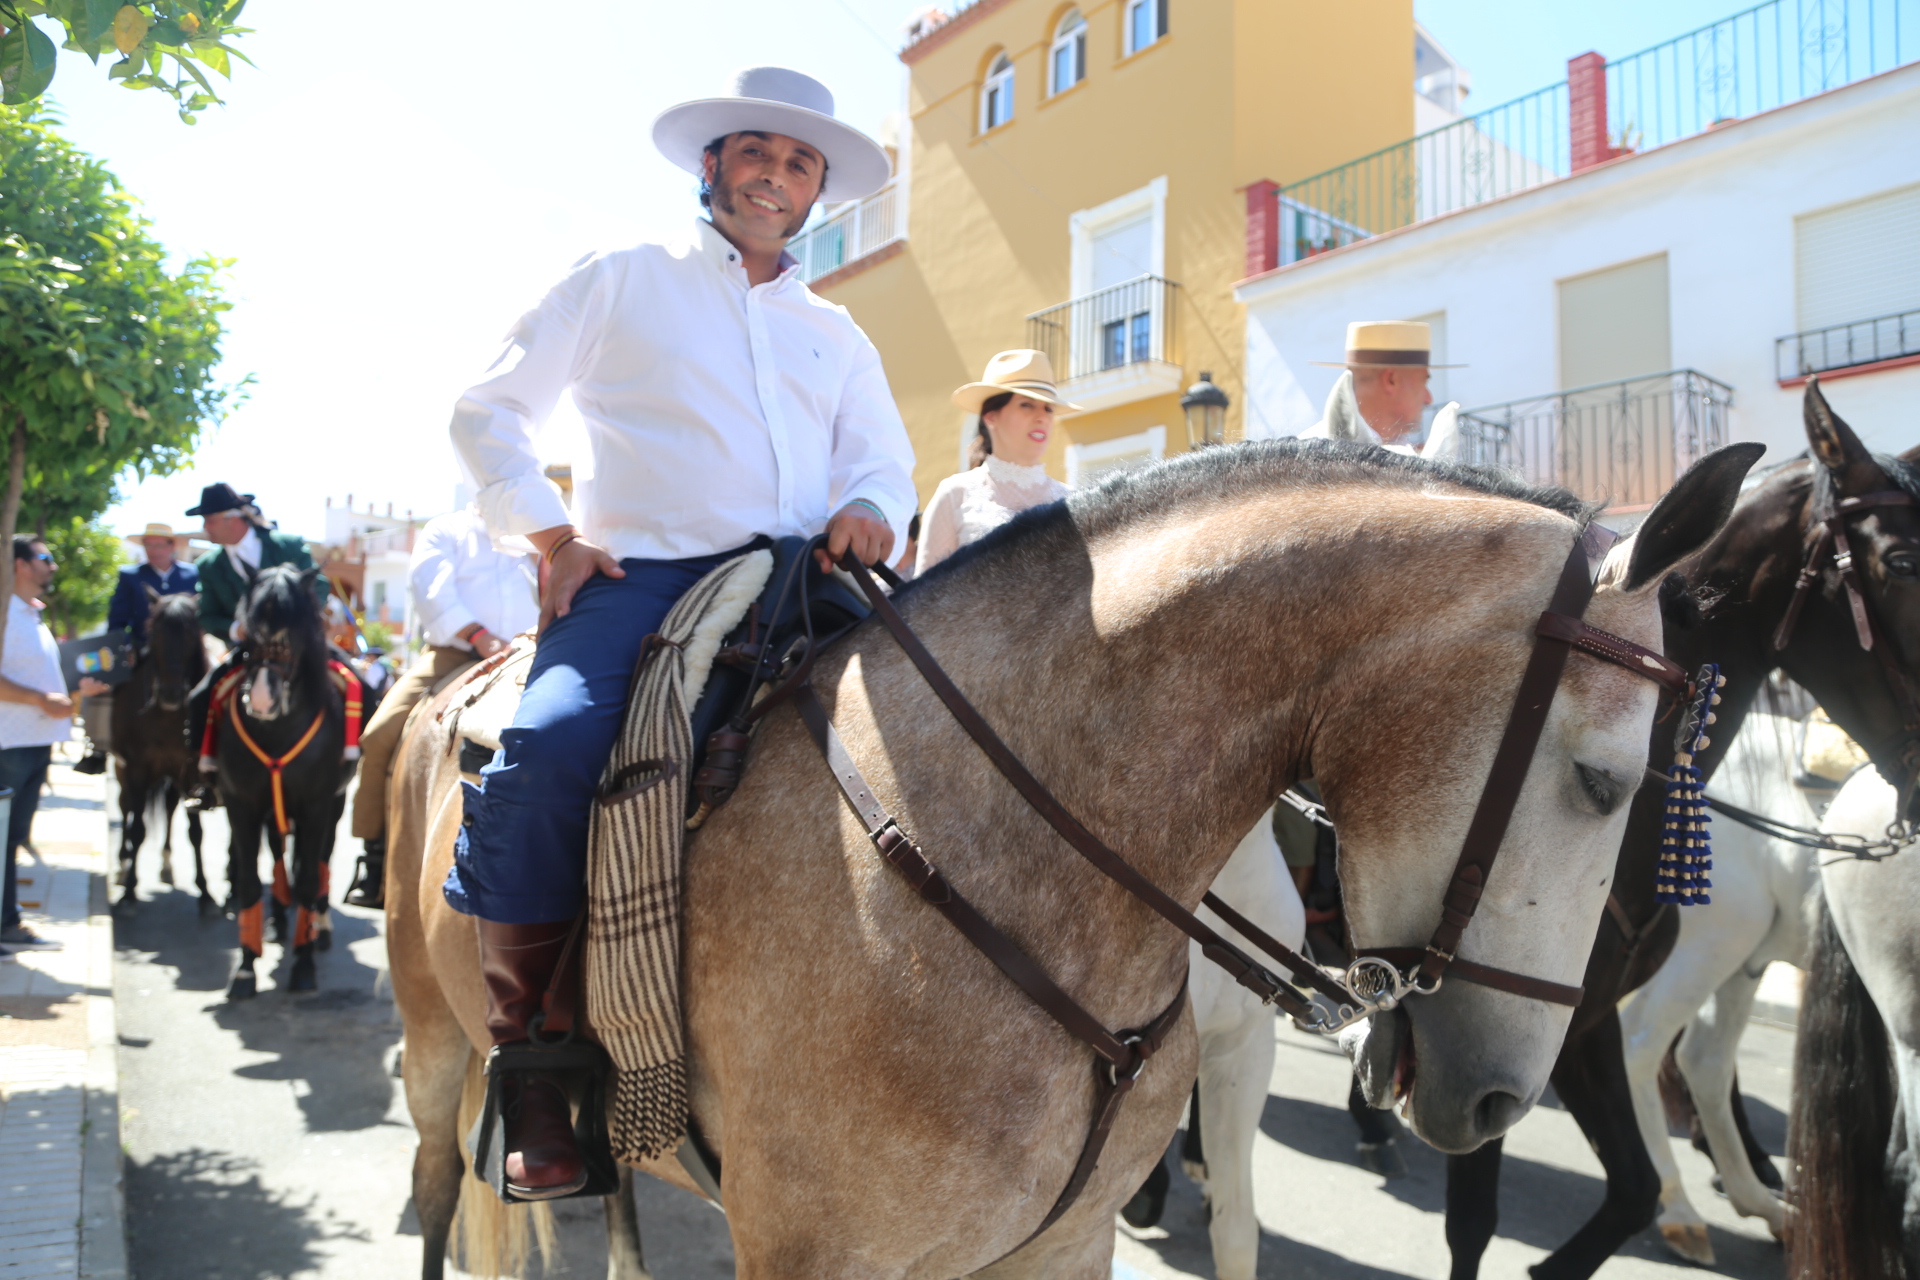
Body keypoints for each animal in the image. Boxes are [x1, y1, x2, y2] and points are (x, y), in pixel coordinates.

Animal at [112, 594, 214, 917]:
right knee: (125, 806)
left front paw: (206, 894)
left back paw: (166, 862)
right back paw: (121, 864)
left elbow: (196, 832)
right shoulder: (136, 767)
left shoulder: (189, 770)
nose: (171, 693)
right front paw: (129, 892)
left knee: (168, 807)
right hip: (122, 770)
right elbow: (137, 828)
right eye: (155, 633)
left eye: (192, 633)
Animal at [1620, 717, 1812, 1266]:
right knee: (1642, 1041)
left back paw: (1759, 1202)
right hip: (1715, 942)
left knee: (1704, 1058)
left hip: (1744, 954)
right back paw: (1680, 1206)